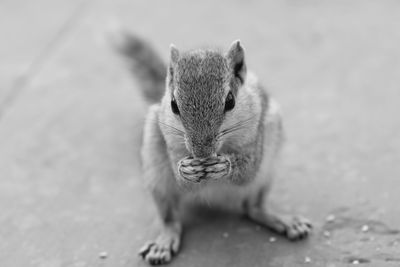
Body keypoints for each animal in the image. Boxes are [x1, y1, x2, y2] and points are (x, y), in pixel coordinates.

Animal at [111, 33, 312, 266]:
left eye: (230, 100)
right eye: (173, 104)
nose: (202, 152)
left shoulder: (257, 134)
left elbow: (248, 171)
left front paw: (225, 166)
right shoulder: (169, 143)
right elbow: (182, 181)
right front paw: (185, 169)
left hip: (268, 164)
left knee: (253, 208)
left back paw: (283, 220)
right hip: (155, 169)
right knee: (170, 219)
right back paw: (163, 242)